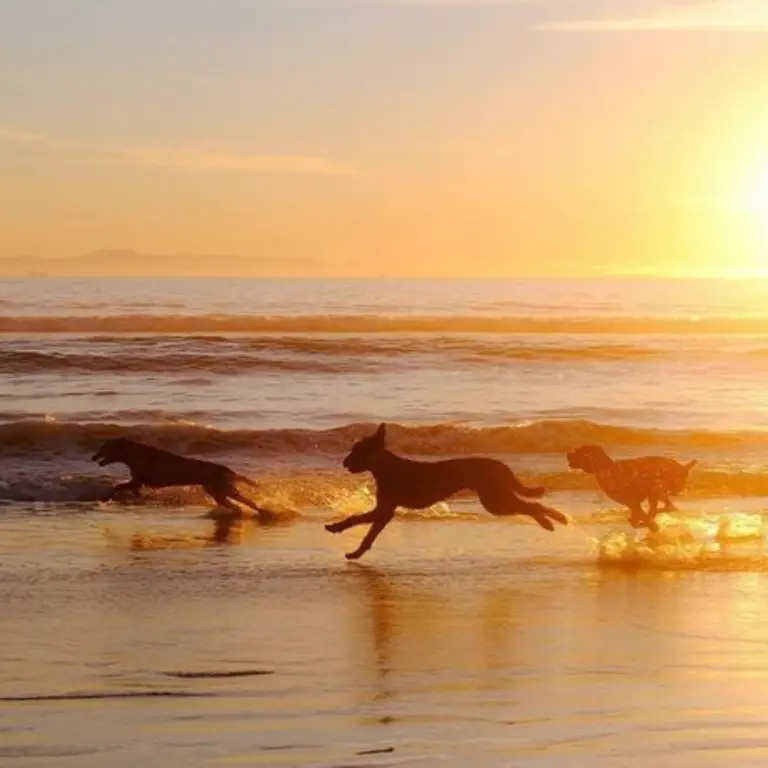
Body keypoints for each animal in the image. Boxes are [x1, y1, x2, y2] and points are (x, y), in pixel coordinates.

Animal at [91, 436, 268, 520]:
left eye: (104, 447)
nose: (93, 457)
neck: (131, 453)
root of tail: (227, 469)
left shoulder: (139, 480)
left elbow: (118, 486)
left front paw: (106, 496)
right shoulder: (138, 481)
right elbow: (127, 486)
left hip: (223, 489)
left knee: (248, 502)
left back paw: (265, 512)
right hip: (216, 492)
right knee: (236, 506)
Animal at [320, 424, 568, 560]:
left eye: (357, 450)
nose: (344, 463)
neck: (386, 466)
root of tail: (501, 466)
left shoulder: (384, 510)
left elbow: (359, 522)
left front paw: (339, 531)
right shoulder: (384, 511)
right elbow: (366, 531)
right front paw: (353, 547)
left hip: (495, 501)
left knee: (531, 506)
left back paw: (550, 521)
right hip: (496, 496)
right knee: (530, 505)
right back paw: (554, 519)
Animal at [564, 444, 696, 536]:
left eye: (578, 451)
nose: (568, 454)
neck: (607, 469)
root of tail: (683, 467)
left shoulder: (634, 502)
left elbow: (642, 519)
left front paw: (649, 524)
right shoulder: (633, 504)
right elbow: (634, 520)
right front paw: (644, 523)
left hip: (656, 489)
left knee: (669, 507)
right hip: (654, 493)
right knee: (665, 508)